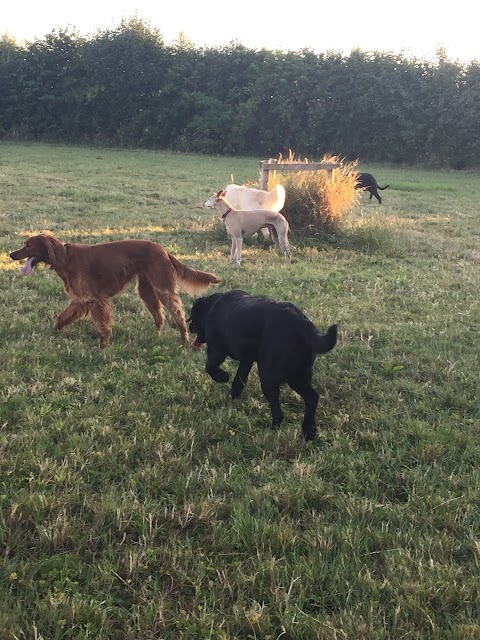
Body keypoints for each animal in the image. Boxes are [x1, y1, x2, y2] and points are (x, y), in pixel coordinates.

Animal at [10, 232, 222, 348]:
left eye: (28, 245)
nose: (11, 254)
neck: (64, 258)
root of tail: (163, 250)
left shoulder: (95, 299)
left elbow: (102, 325)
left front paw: (103, 346)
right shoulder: (80, 300)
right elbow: (61, 317)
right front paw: (54, 330)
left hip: (163, 289)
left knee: (178, 313)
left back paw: (183, 340)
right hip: (146, 290)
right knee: (159, 315)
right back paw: (157, 335)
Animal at [188, 290, 338, 440]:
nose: (189, 327)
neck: (211, 306)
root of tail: (300, 322)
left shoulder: (216, 351)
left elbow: (210, 367)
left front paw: (223, 377)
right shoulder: (246, 361)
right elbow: (238, 381)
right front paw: (233, 399)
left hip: (269, 376)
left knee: (278, 408)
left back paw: (273, 427)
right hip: (298, 375)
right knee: (312, 398)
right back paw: (309, 431)